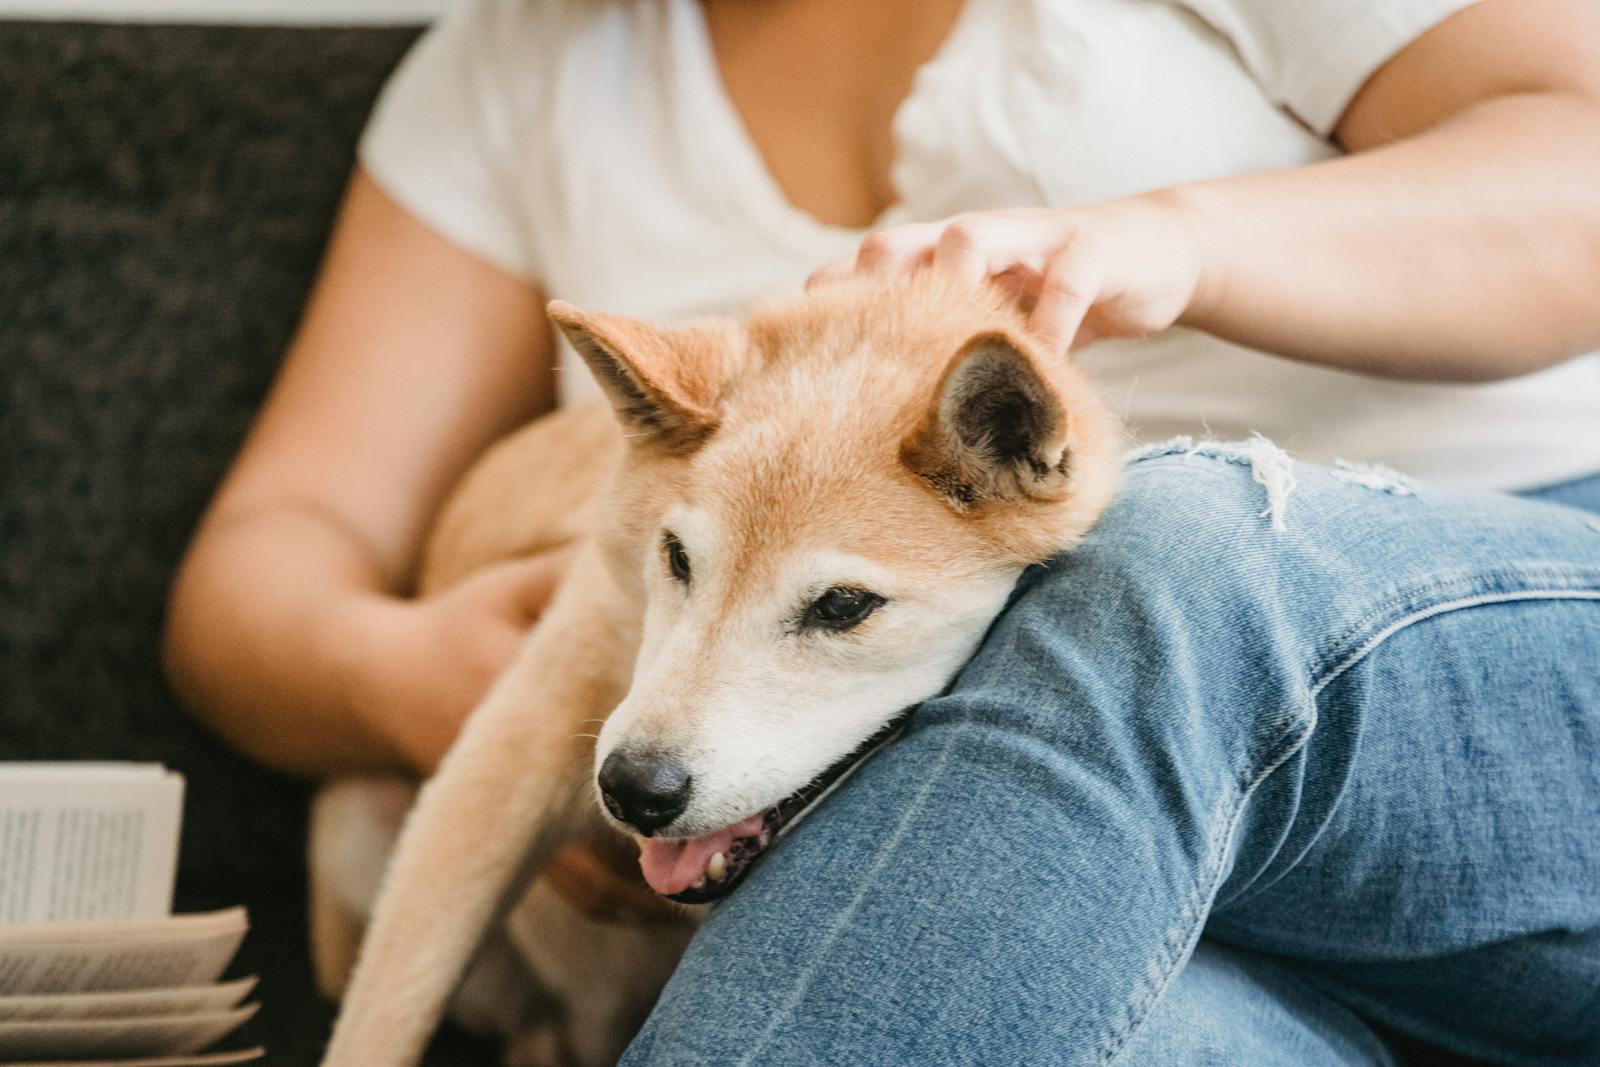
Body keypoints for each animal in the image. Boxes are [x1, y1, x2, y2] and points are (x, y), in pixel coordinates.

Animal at [305, 275, 1120, 1067]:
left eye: (843, 605)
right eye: (677, 558)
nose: (635, 788)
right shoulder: (499, 764)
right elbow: (382, 1023)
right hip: (355, 815)